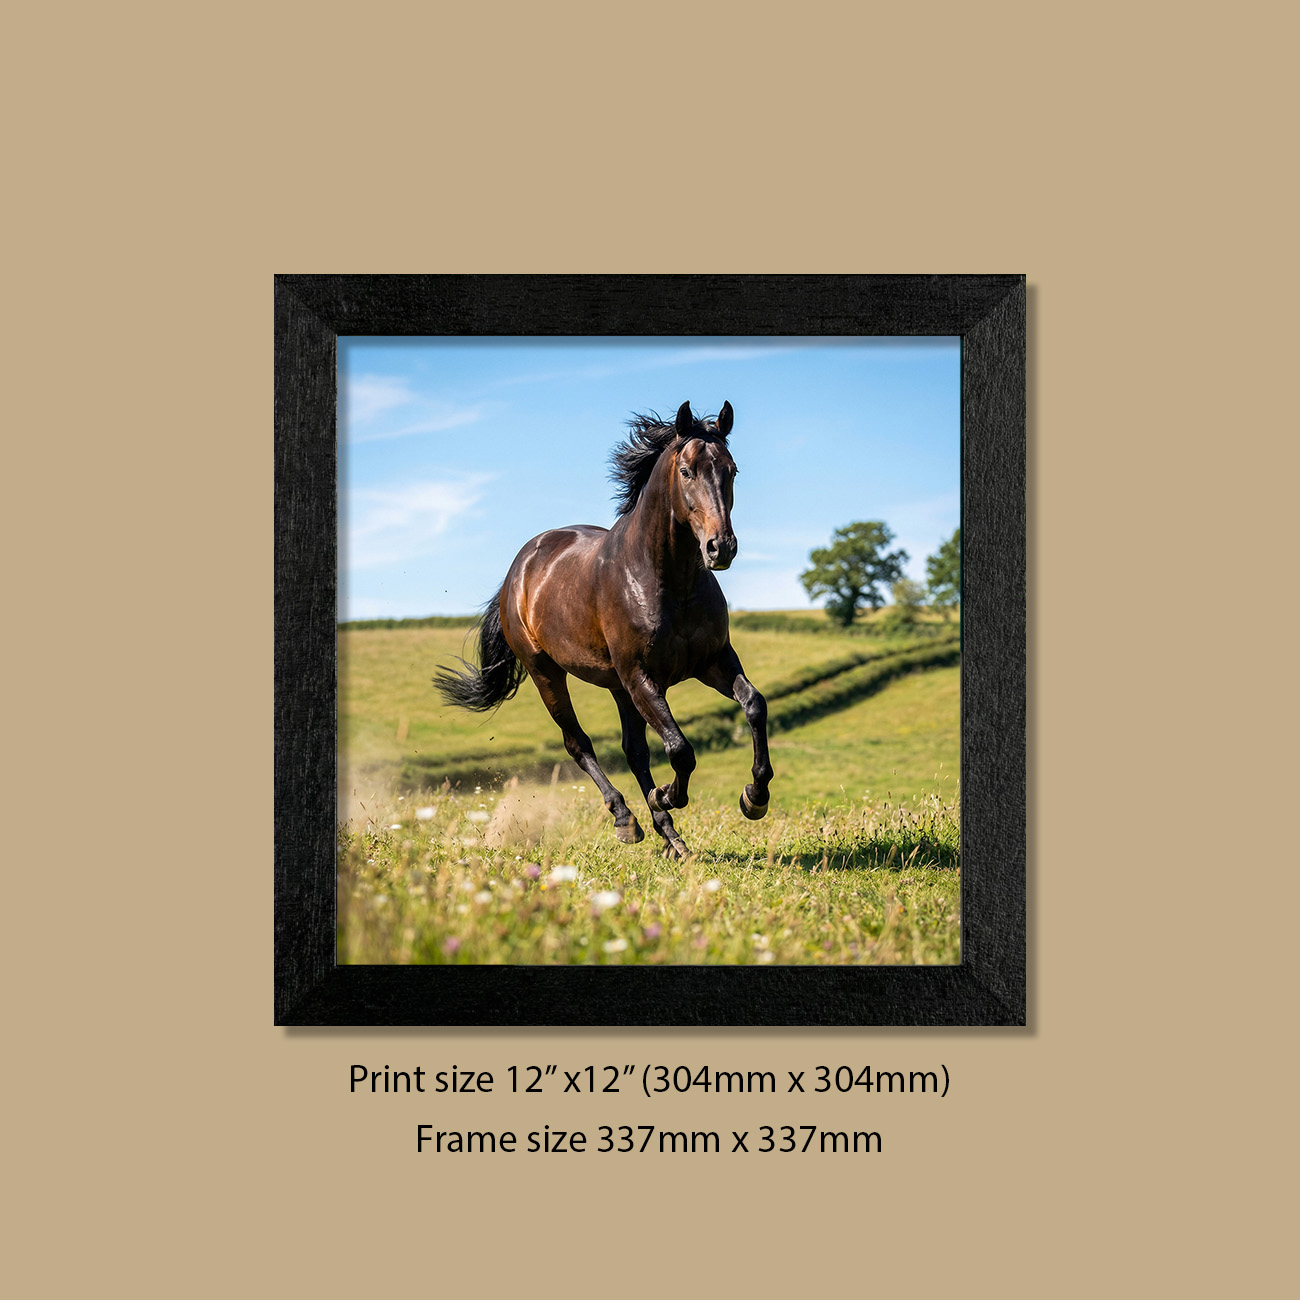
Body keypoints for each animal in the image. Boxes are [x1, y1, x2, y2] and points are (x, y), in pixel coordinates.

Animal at [433, 400, 774, 860]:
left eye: (732, 470)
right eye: (687, 471)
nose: (721, 548)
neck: (669, 581)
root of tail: (518, 569)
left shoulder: (713, 662)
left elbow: (754, 705)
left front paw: (754, 797)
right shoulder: (642, 677)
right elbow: (680, 750)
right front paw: (668, 795)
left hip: (617, 686)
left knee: (635, 753)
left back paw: (671, 837)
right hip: (548, 673)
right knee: (579, 744)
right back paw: (627, 819)